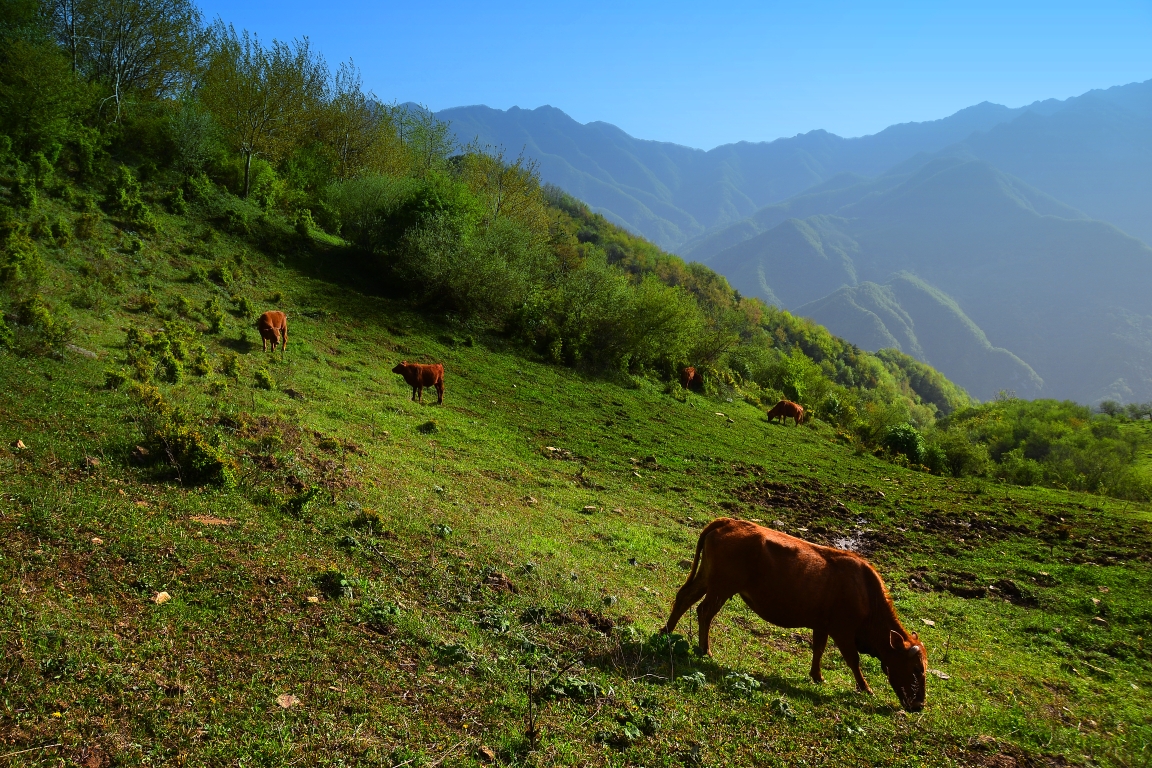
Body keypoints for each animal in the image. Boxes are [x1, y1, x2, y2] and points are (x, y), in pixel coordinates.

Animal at [668, 520, 926, 713]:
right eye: (915, 670)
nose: (920, 705)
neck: (865, 591)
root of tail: (729, 521)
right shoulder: (843, 630)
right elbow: (853, 660)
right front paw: (866, 688)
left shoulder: (822, 625)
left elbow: (818, 649)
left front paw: (817, 676)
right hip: (721, 587)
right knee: (704, 611)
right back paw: (704, 650)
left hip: (707, 579)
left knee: (684, 597)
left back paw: (667, 632)